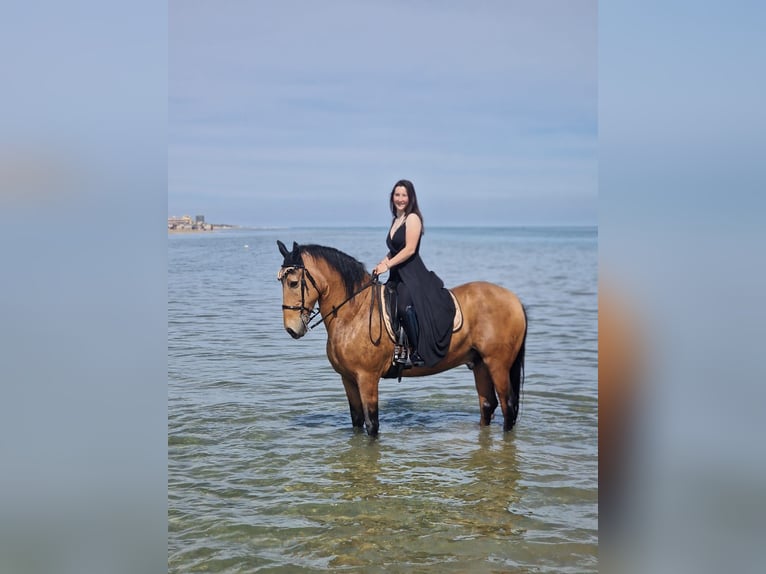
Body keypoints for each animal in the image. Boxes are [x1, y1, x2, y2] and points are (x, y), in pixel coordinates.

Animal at [277, 240, 528, 437]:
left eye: (293, 283)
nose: (291, 329)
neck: (354, 312)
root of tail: (513, 299)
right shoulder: (348, 379)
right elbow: (357, 422)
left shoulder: (367, 378)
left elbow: (371, 424)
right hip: (480, 364)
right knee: (487, 405)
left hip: (498, 364)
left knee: (507, 406)